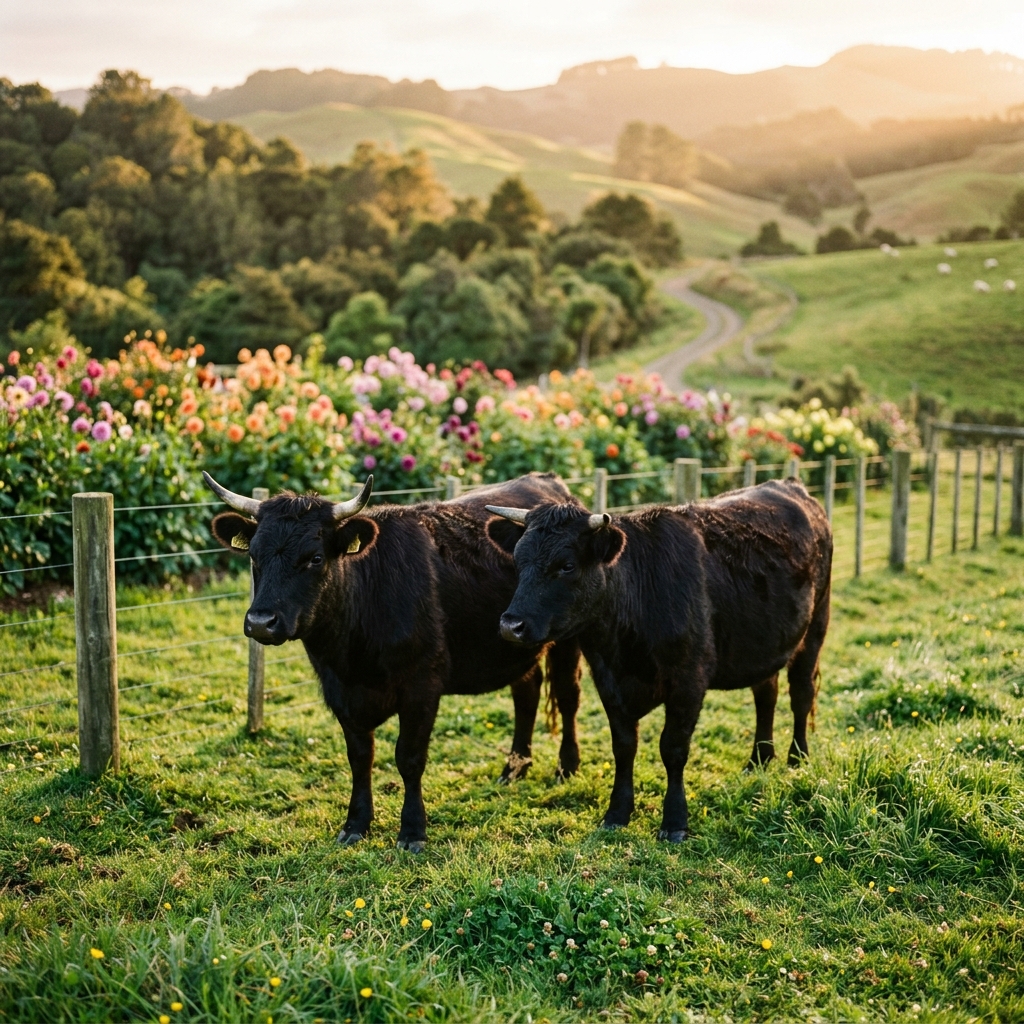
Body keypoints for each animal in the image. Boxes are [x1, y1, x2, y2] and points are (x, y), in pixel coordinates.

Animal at [205, 471, 582, 852]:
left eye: (314, 558)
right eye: (254, 555)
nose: (260, 622)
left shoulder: (422, 687)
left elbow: (409, 758)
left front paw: (412, 830)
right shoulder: (339, 692)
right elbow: (360, 758)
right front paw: (355, 823)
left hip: (567, 640)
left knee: (567, 697)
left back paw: (566, 767)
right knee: (527, 694)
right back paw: (514, 768)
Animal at [487, 477, 832, 842]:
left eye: (566, 565)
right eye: (518, 560)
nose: (511, 625)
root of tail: (789, 485)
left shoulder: (689, 679)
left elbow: (673, 748)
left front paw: (675, 821)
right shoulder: (607, 679)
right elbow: (624, 746)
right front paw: (617, 812)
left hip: (815, 627)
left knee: (801, 694)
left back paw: (797, 759)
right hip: (765, 642)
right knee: (766, 695)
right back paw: (759, 761)